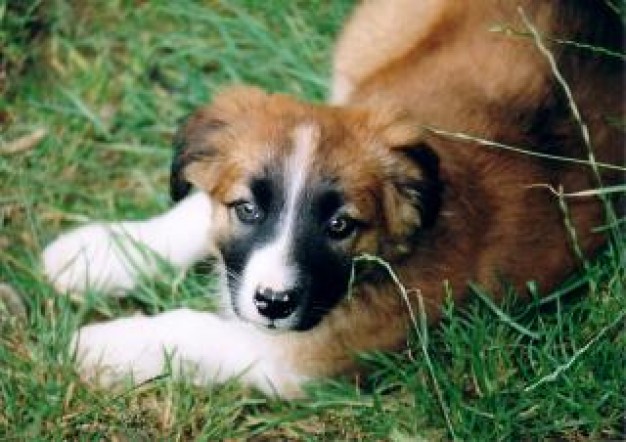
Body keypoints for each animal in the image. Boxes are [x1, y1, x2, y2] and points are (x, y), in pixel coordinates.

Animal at [42, 0, 620, 398]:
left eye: (340, 226)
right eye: (247, 209)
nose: (273, 303)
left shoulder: (303, 360)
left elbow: (194, 331)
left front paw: (106, 345)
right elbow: (193, 214)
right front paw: (97, 254)